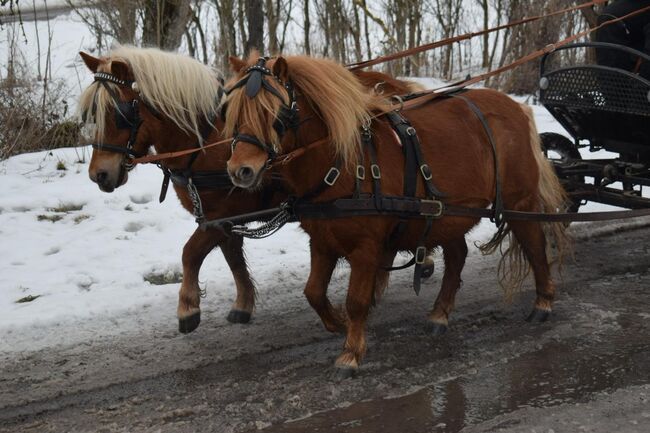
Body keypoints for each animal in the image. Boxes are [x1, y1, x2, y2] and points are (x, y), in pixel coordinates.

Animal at [78, 46, 427, 334]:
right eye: (91, 114)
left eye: (120, 113)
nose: (99, 174)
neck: (207, 140)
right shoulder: (223, 218)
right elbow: (232, 257)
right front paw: (243, 303)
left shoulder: (222, 214)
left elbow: (191, 252)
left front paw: (188, 308)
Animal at [223, 54, 569, 375]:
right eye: (233, 112)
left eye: (274, 112)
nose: (241, 170)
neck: (344, 163)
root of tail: (517, 108)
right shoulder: (321, 241)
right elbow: (314, 293)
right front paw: (338, 322)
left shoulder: (366, 247)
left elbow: (356, 300)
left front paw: (350, 352)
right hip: (447, 215)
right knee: (457, 255)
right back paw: (440, 314)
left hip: (519, 202)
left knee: (535, 248)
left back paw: (543, 301)